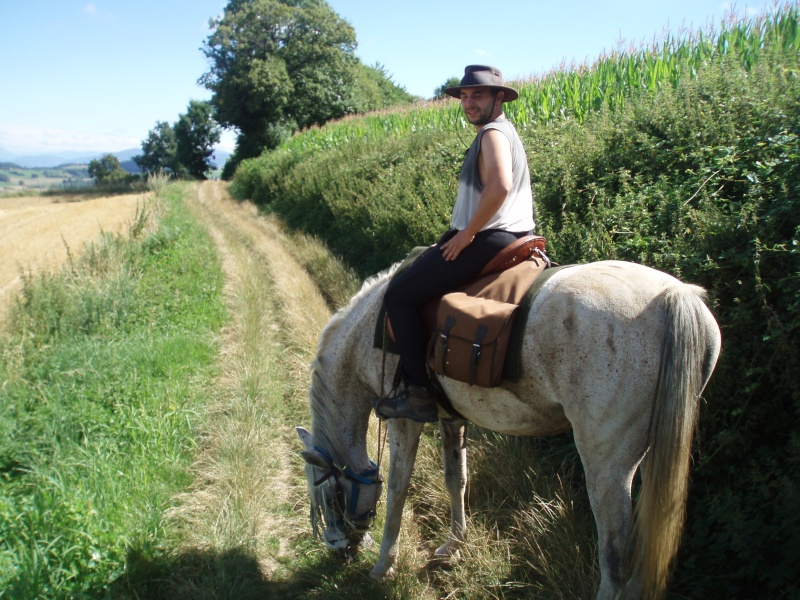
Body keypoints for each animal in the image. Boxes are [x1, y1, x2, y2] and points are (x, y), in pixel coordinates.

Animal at [296, 258, 720, 600]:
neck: (372, 327)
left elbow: (398, 488)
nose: (339, 549)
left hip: (609, 467)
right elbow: (456, 479)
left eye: (331, 498)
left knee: (615, 558)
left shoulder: (404, 420)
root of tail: (674, 296)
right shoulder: (452, 417)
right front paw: (453, 546)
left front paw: (384, 564)